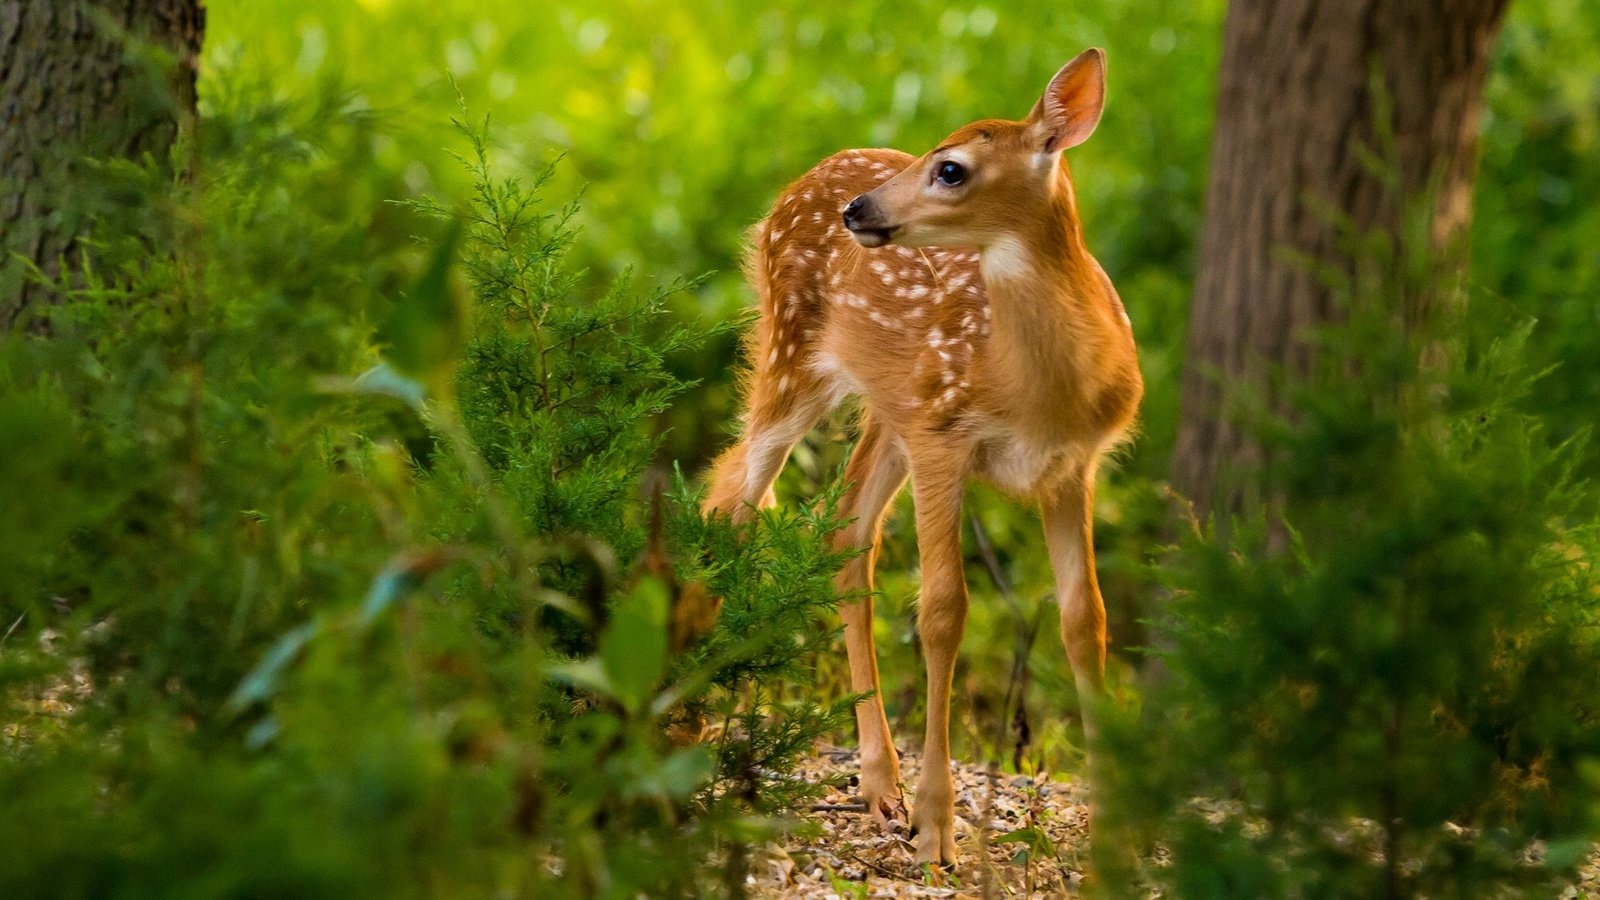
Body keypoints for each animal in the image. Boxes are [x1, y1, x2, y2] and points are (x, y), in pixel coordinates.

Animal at [710, 49, 1139, 864]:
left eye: (951, 169)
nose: (859, 211)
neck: (1038, 388)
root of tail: (800, 183)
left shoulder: (1073, 467)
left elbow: (1086, 619)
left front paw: (1115, 837)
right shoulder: (945, 436)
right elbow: (943, 610)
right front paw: (938, 827)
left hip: (890, 409)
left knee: (843, 530)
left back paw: (880, 783)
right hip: (790, 356)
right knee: (733, 499)